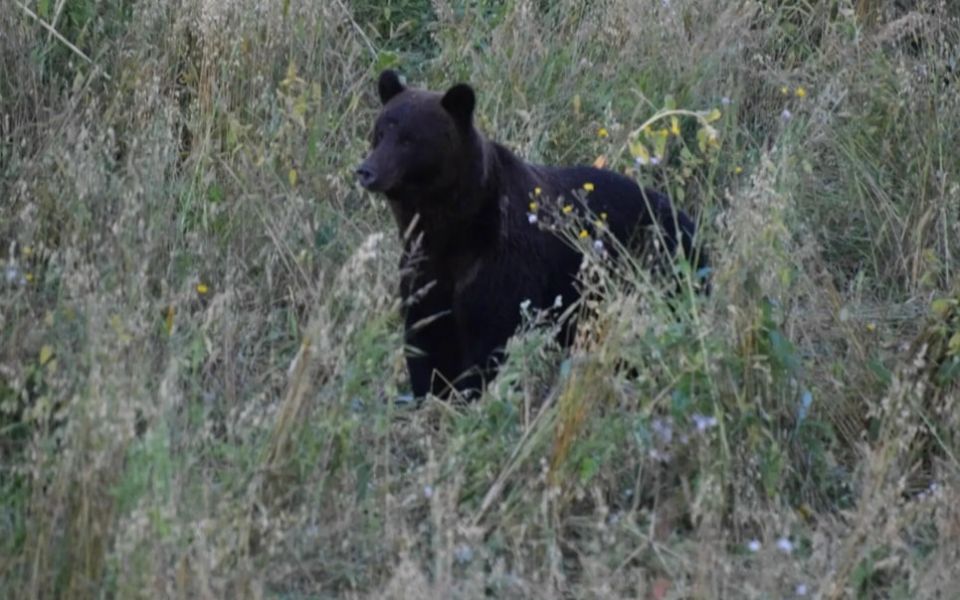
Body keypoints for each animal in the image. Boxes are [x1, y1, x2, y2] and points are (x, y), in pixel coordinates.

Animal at [356, 69, 705, 399]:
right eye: (380, 131)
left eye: (409, 139)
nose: (366, 171)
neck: (451, 225)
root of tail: (689, 220)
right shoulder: (424, 264)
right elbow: (426, 336)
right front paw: (431, 395)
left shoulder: (502, 261)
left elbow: (489, 336)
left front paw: (468, 395)